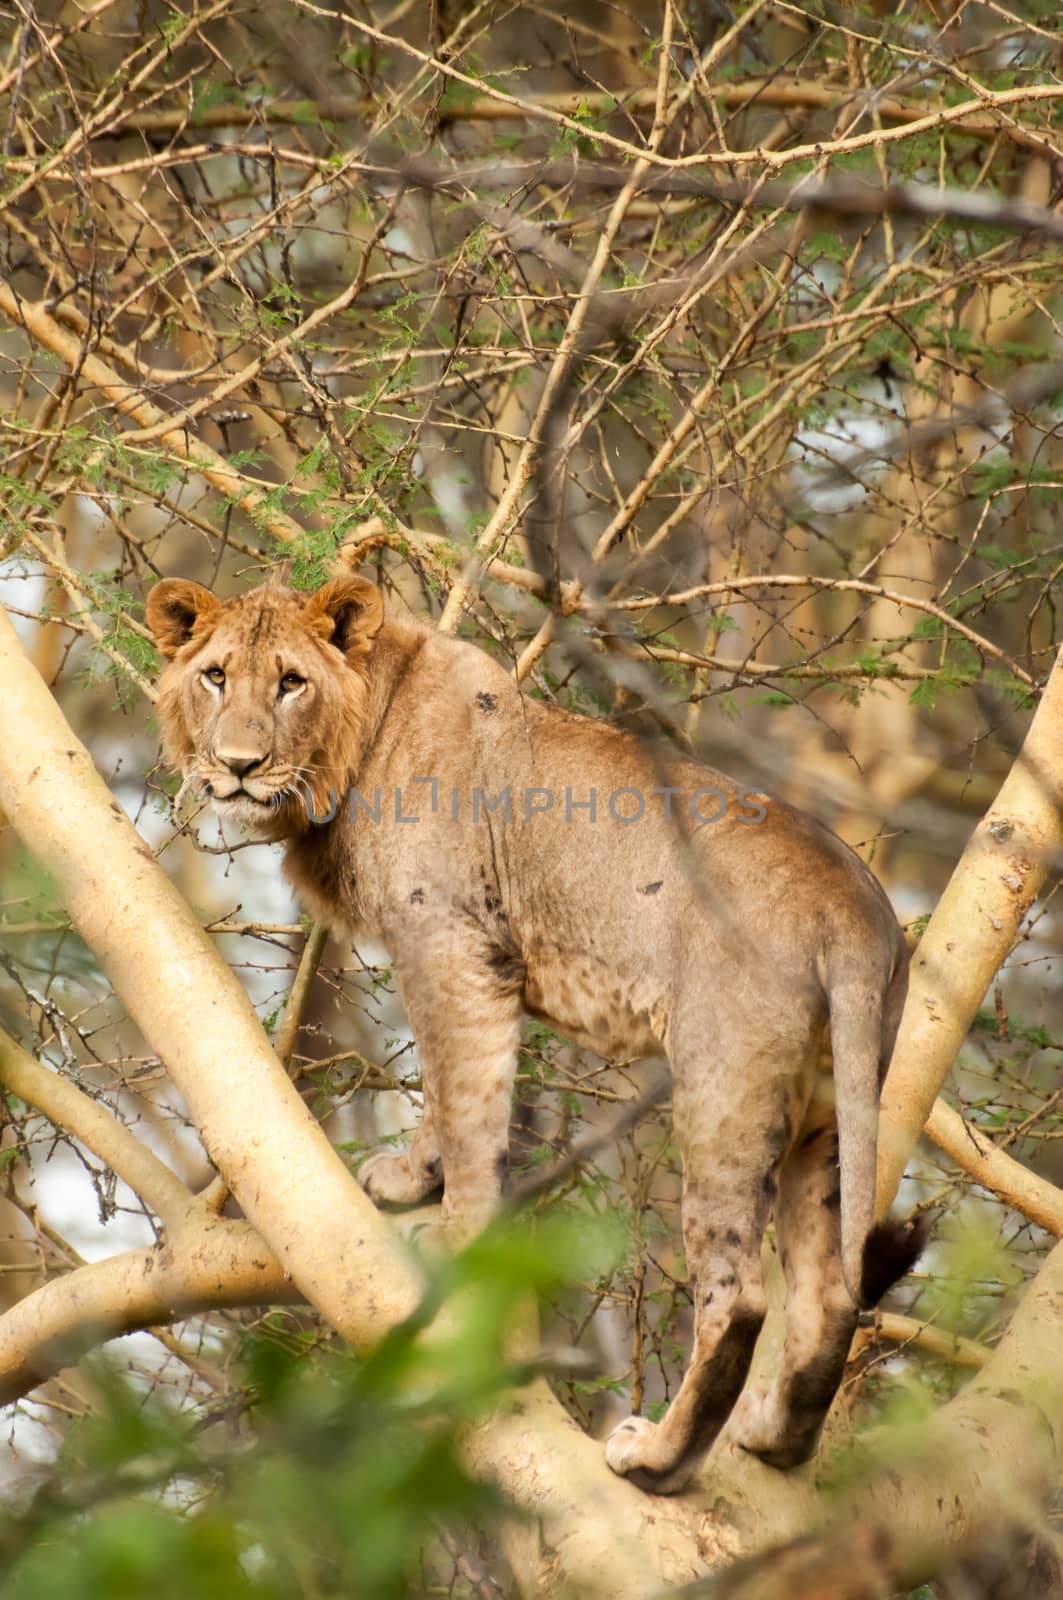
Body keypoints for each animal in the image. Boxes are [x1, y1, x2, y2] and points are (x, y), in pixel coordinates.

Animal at [145, 569, 928, 1491]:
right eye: (216, 676)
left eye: (291, 682)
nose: (239, 765)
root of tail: (854, 911)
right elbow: (453, 1097)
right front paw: (411, 1179)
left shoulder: (453, 945)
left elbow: (463, 1100)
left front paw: (454, 1231)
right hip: (831, 1113)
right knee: (829, 1294)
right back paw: (773, 1437)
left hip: (722, 1089)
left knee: (738, 1297)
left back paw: (657, 1457)